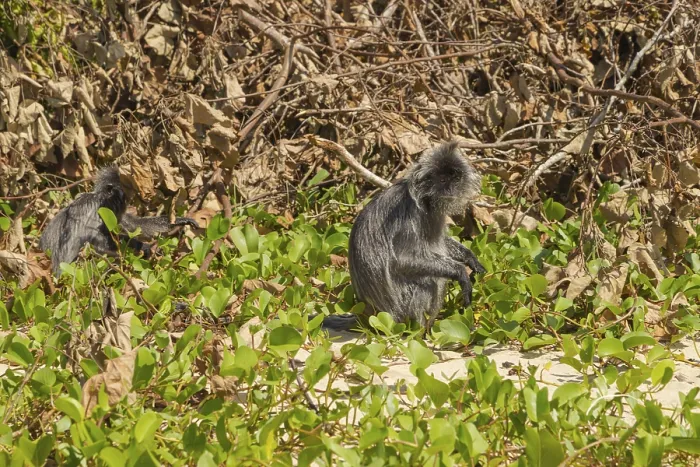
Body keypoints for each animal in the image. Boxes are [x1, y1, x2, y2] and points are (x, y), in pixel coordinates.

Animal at [39, 167, 199, 276]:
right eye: (124, 193)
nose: (128, 200)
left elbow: (136, 226)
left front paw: (180, 220)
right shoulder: (99, 210)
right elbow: (97, 245)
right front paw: (143, 247)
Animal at [345, 141, 485, 330]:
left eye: (455, 179)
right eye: (442, 180)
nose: (450, 190)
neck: (425, 202)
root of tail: (366, 316)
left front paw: (471, 258)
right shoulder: (408, 217)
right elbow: (402, 260)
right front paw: (461, 272)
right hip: (400, 307)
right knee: (432, 281)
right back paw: (421, 331)